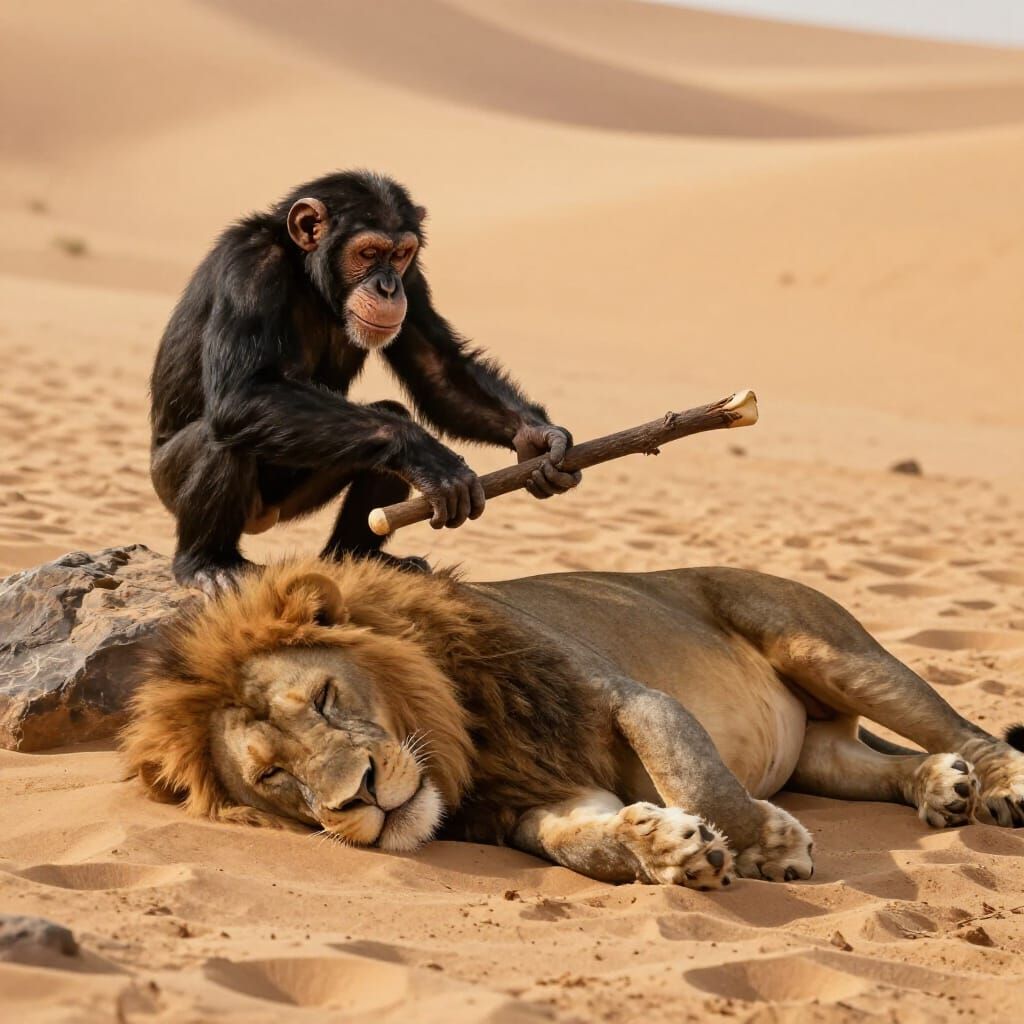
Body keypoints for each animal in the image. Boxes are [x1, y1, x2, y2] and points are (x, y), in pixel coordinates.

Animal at [122, 558, 1024, 889]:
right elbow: (576, 844)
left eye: (322, 699)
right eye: (273, 776)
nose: (362, 799)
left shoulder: (629, 698)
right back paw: (938, 789)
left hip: (825, 644)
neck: (462, 740)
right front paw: (669, 849)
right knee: (864, 761)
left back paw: (998, 786)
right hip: (818, 752)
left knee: (959, 724)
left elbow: (700, 778)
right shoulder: (529, 799)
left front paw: (768, 844)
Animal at [149, 171, 580, 592]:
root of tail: (263, 520)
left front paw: (539, 440)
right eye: (369, 253)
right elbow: (243, 392)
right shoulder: (250, 268)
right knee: (224, 437)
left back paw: (356, 558)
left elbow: (439, 371)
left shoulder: (413, 280)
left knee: (386, 426)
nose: (388, 287)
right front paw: (425, 453)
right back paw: (209, 563)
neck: (308, 276)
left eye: (400, 255)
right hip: (171, 485)